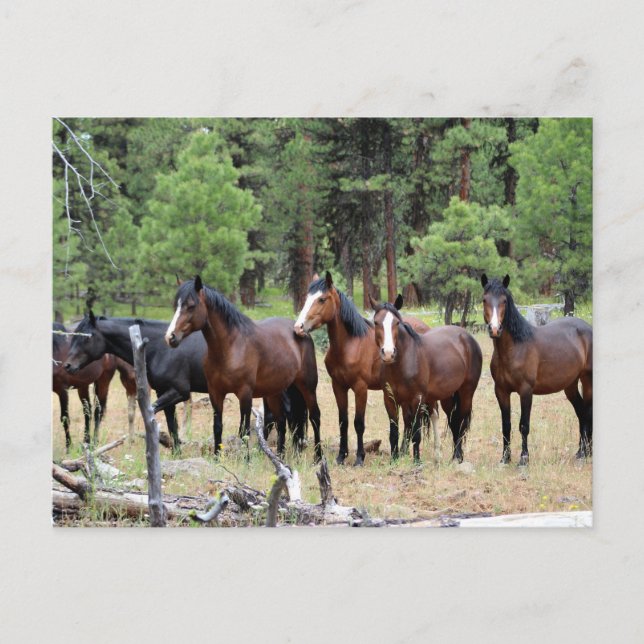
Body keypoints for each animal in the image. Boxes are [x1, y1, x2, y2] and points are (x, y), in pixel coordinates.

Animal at [64, 312, 307, 454]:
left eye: (86, 337)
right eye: (73, 336)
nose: (67, 366)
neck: (159, 348)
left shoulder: (179, 392)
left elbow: (154, 414)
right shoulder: (165, 392)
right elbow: (172, 425)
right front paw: (175, 451)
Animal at [165, 276, 322, 460]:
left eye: (191, 305)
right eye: (175, 305)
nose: (170, 337)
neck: (231, 347)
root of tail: (300, 331)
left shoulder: (245, 394)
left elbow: (244, 430)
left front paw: (246, 460)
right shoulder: (215, 393)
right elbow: (217, 427)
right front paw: (217, 458)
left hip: (307, 387)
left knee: (315, 417)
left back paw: (318, 457)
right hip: (274, 392)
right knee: (281, 421)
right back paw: (279, 457)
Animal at [293, 271, 440, 466]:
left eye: (322, 299)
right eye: (307, 298)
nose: (298, 327)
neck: (350, 345)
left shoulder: (360, 388)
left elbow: (358, 423)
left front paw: (359, 458)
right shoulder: (338, 387)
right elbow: (343, 421)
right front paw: (341, 456)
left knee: (433, 415)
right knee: (408, 421)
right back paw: (401, 452)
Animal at [371, 295, 482, 463]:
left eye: (397, 323)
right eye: (376, 322)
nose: (389, 353)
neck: (405, 362)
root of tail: (467, 337)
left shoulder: (417, 399)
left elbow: (416, 433)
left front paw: (417, 460)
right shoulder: (390, 400)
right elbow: (394, 431)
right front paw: (394, 459)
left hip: (466, 393)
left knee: (462, 422)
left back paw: (457, 457)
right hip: (447, 397)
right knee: (453, 421)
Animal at [481, 274, 593, 465]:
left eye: (504, 301)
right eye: (484, 300)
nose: (495, 329)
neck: (515, 349)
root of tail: (587, 328)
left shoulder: (526, 391)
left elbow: (524, 425)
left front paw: (523, 459)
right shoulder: (501, 391)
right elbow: (506, 425)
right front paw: (505, 459)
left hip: (587, 380)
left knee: (588, 411)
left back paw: (587, 453)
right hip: (570, 385)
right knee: (581, 413)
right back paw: (581, 452)